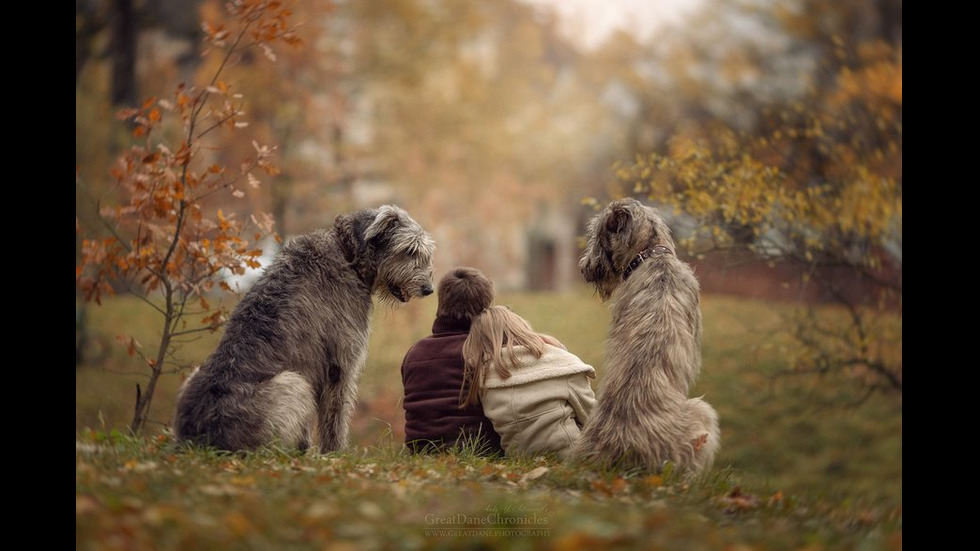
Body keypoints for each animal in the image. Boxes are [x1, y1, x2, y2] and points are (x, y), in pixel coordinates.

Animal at [175, 207, 432, 452]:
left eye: (426, 253)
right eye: (409, 250)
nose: (428, 289)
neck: (347, 254)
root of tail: (197, 437)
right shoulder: (341, 362)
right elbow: (336, 416)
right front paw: (334, 454)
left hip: (195, 375)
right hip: (293, 384)